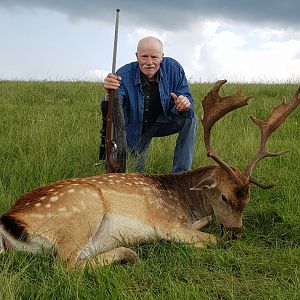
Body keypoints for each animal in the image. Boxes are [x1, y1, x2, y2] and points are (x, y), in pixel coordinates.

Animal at [0, 81, 298, 268]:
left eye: (248, 198)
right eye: (224, 197)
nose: (236, 233)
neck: (183, 200)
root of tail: (10, 224)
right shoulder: (167, 224)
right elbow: (210, 240)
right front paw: (200, 243)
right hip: (83, 208)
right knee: (64, 265)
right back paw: (128, 253)